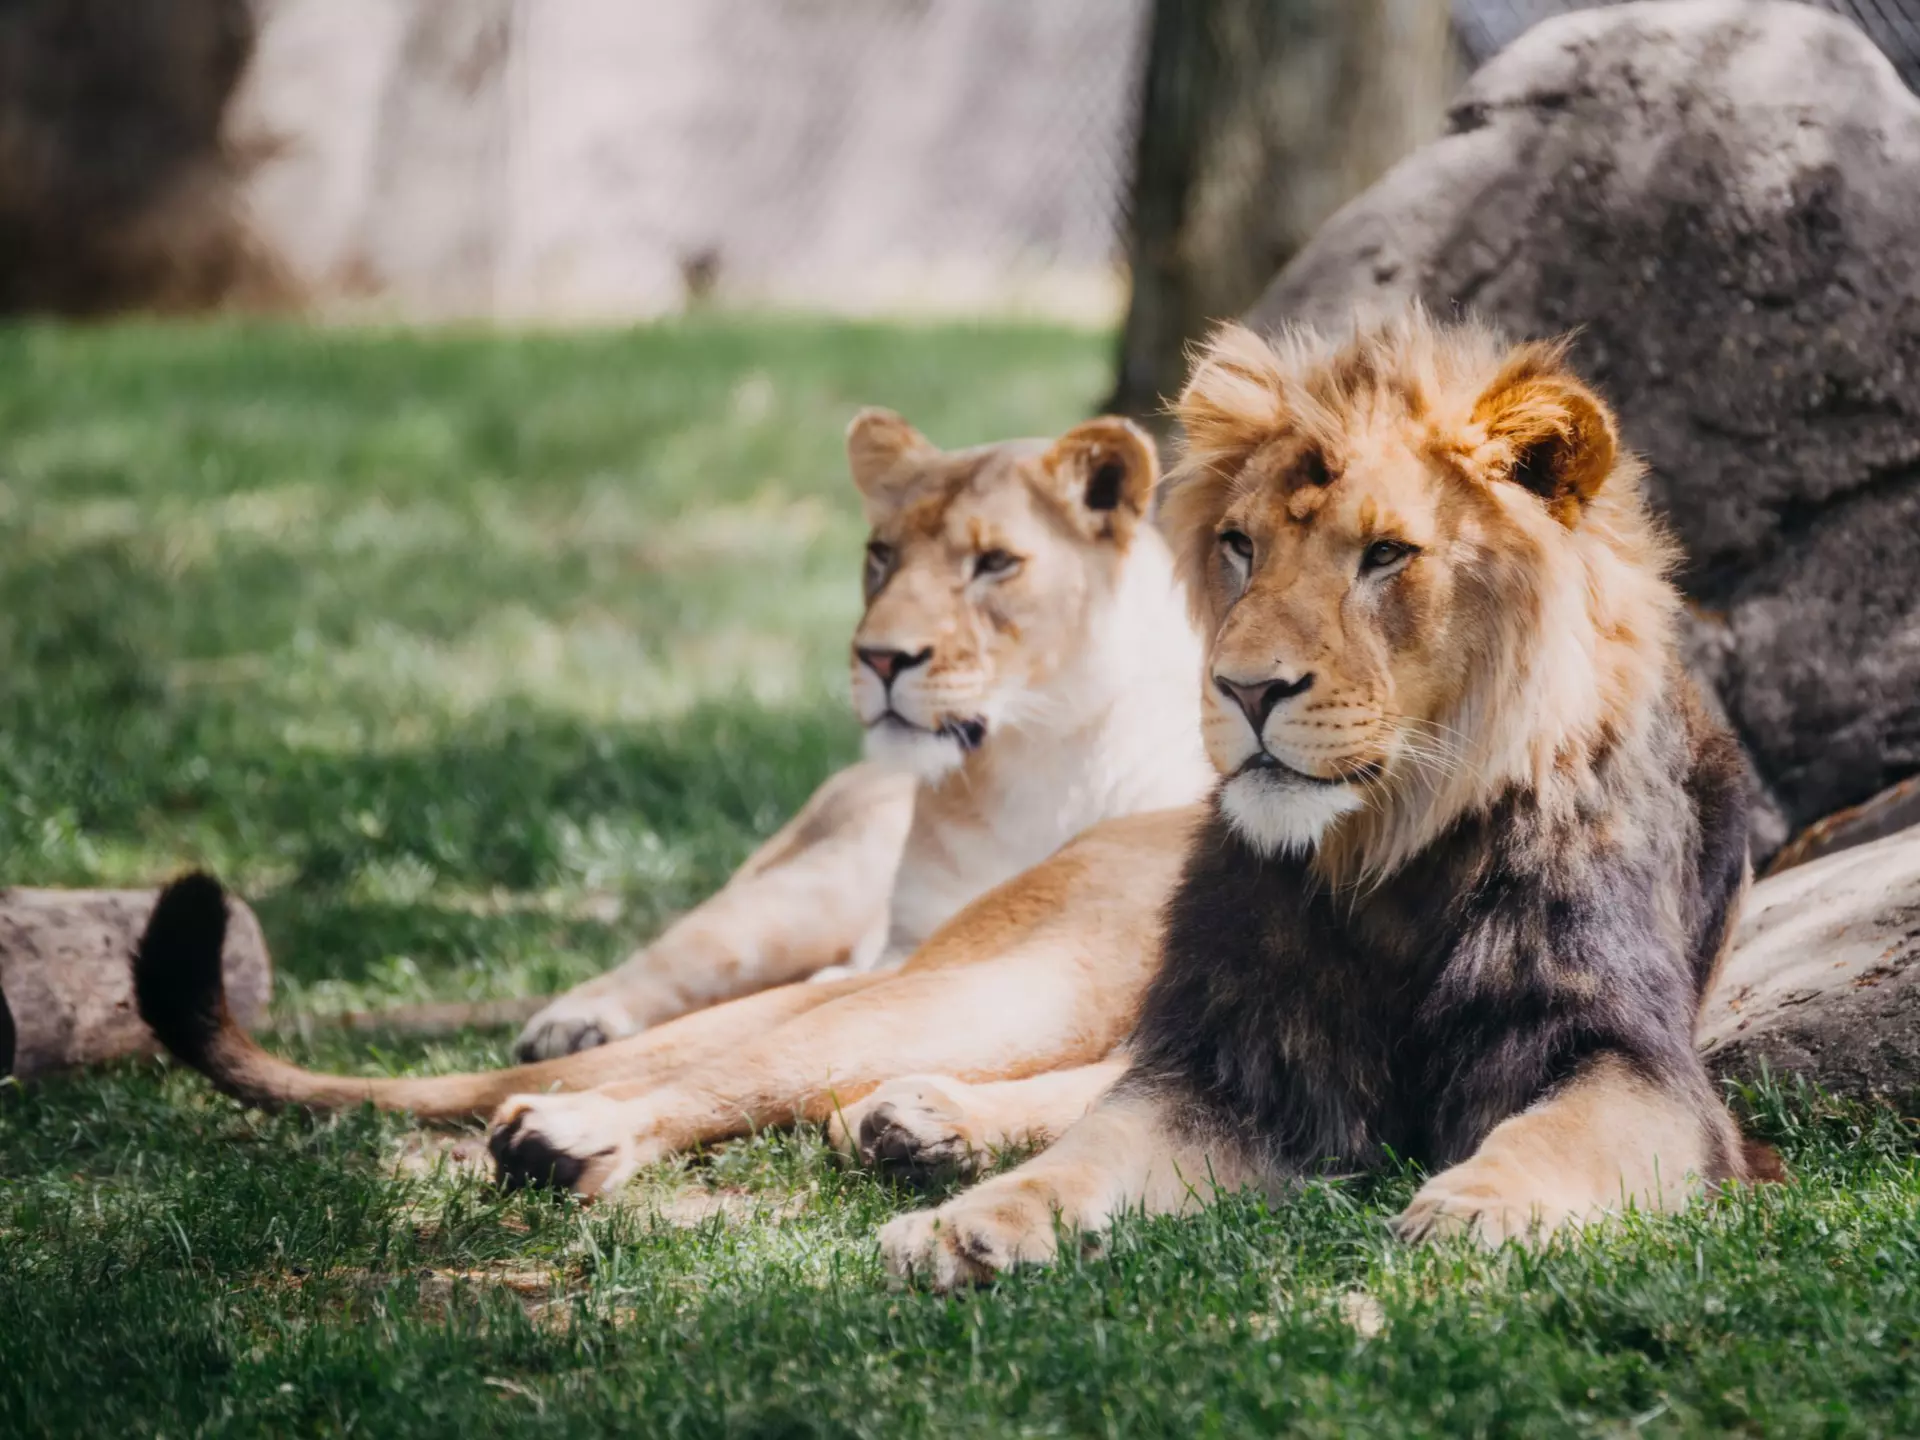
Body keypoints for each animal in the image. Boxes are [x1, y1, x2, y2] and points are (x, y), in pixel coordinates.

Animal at [132, 408, 1215, 1178]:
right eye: (881, 558)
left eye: (996, 565)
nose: (884, 659)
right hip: (1018, 978)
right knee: (751, 1057)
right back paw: (574, 1133)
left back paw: (920, 1123)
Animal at [879, 310, 1776, 1289]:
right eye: (1241, 546)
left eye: (1385, 555)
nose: (1246, 689)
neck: (1392, 859)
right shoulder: (1243, 1056)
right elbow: (1100, 1138)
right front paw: (968, 1224)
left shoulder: (1630, 1057)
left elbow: (1559, 1133)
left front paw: (1473, 1215)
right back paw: (924, 1115)